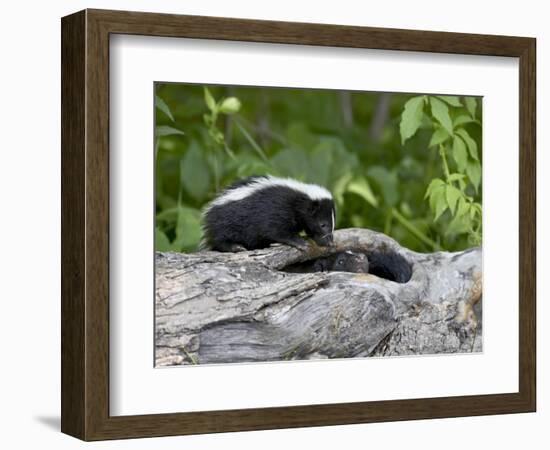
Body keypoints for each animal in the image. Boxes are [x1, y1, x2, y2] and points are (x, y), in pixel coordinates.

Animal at [201, 176, 334, 253]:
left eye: (332, 224)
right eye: (323, 224)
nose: (331, 242)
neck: (299, 199)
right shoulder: (276, 209)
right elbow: (276, 230)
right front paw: (300, 242)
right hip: (227, 221)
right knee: (221, 239)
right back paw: (235, 247)